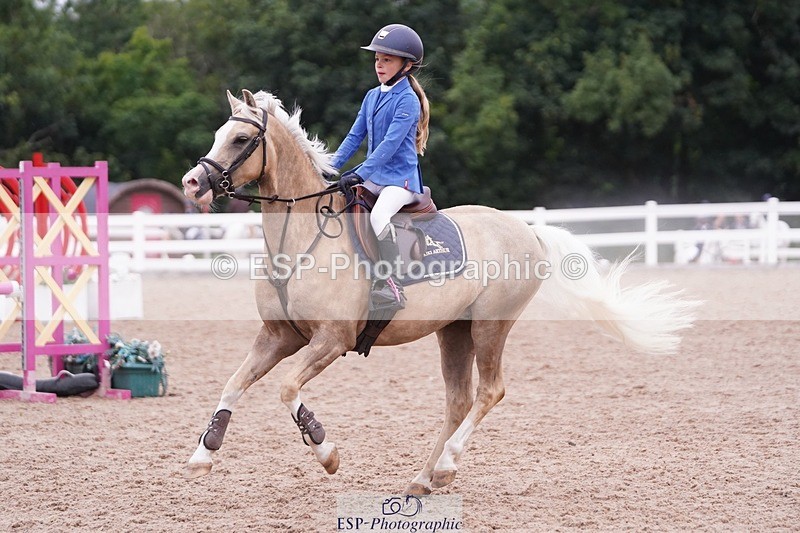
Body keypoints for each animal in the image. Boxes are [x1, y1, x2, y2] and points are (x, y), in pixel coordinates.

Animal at [180, 89, 699, 495]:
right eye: (218, 135)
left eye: (241, 139)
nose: (192, 183)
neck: (301, 238)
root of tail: (527, 229)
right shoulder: (279, 336)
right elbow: (234, 382)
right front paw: (204, 454)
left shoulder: (331, 339)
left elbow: (288, 388)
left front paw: (325, 450)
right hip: (454, 331)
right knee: (458, 401)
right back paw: (422, 480)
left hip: (491, 326)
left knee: (490, 391)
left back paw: (447, 465)